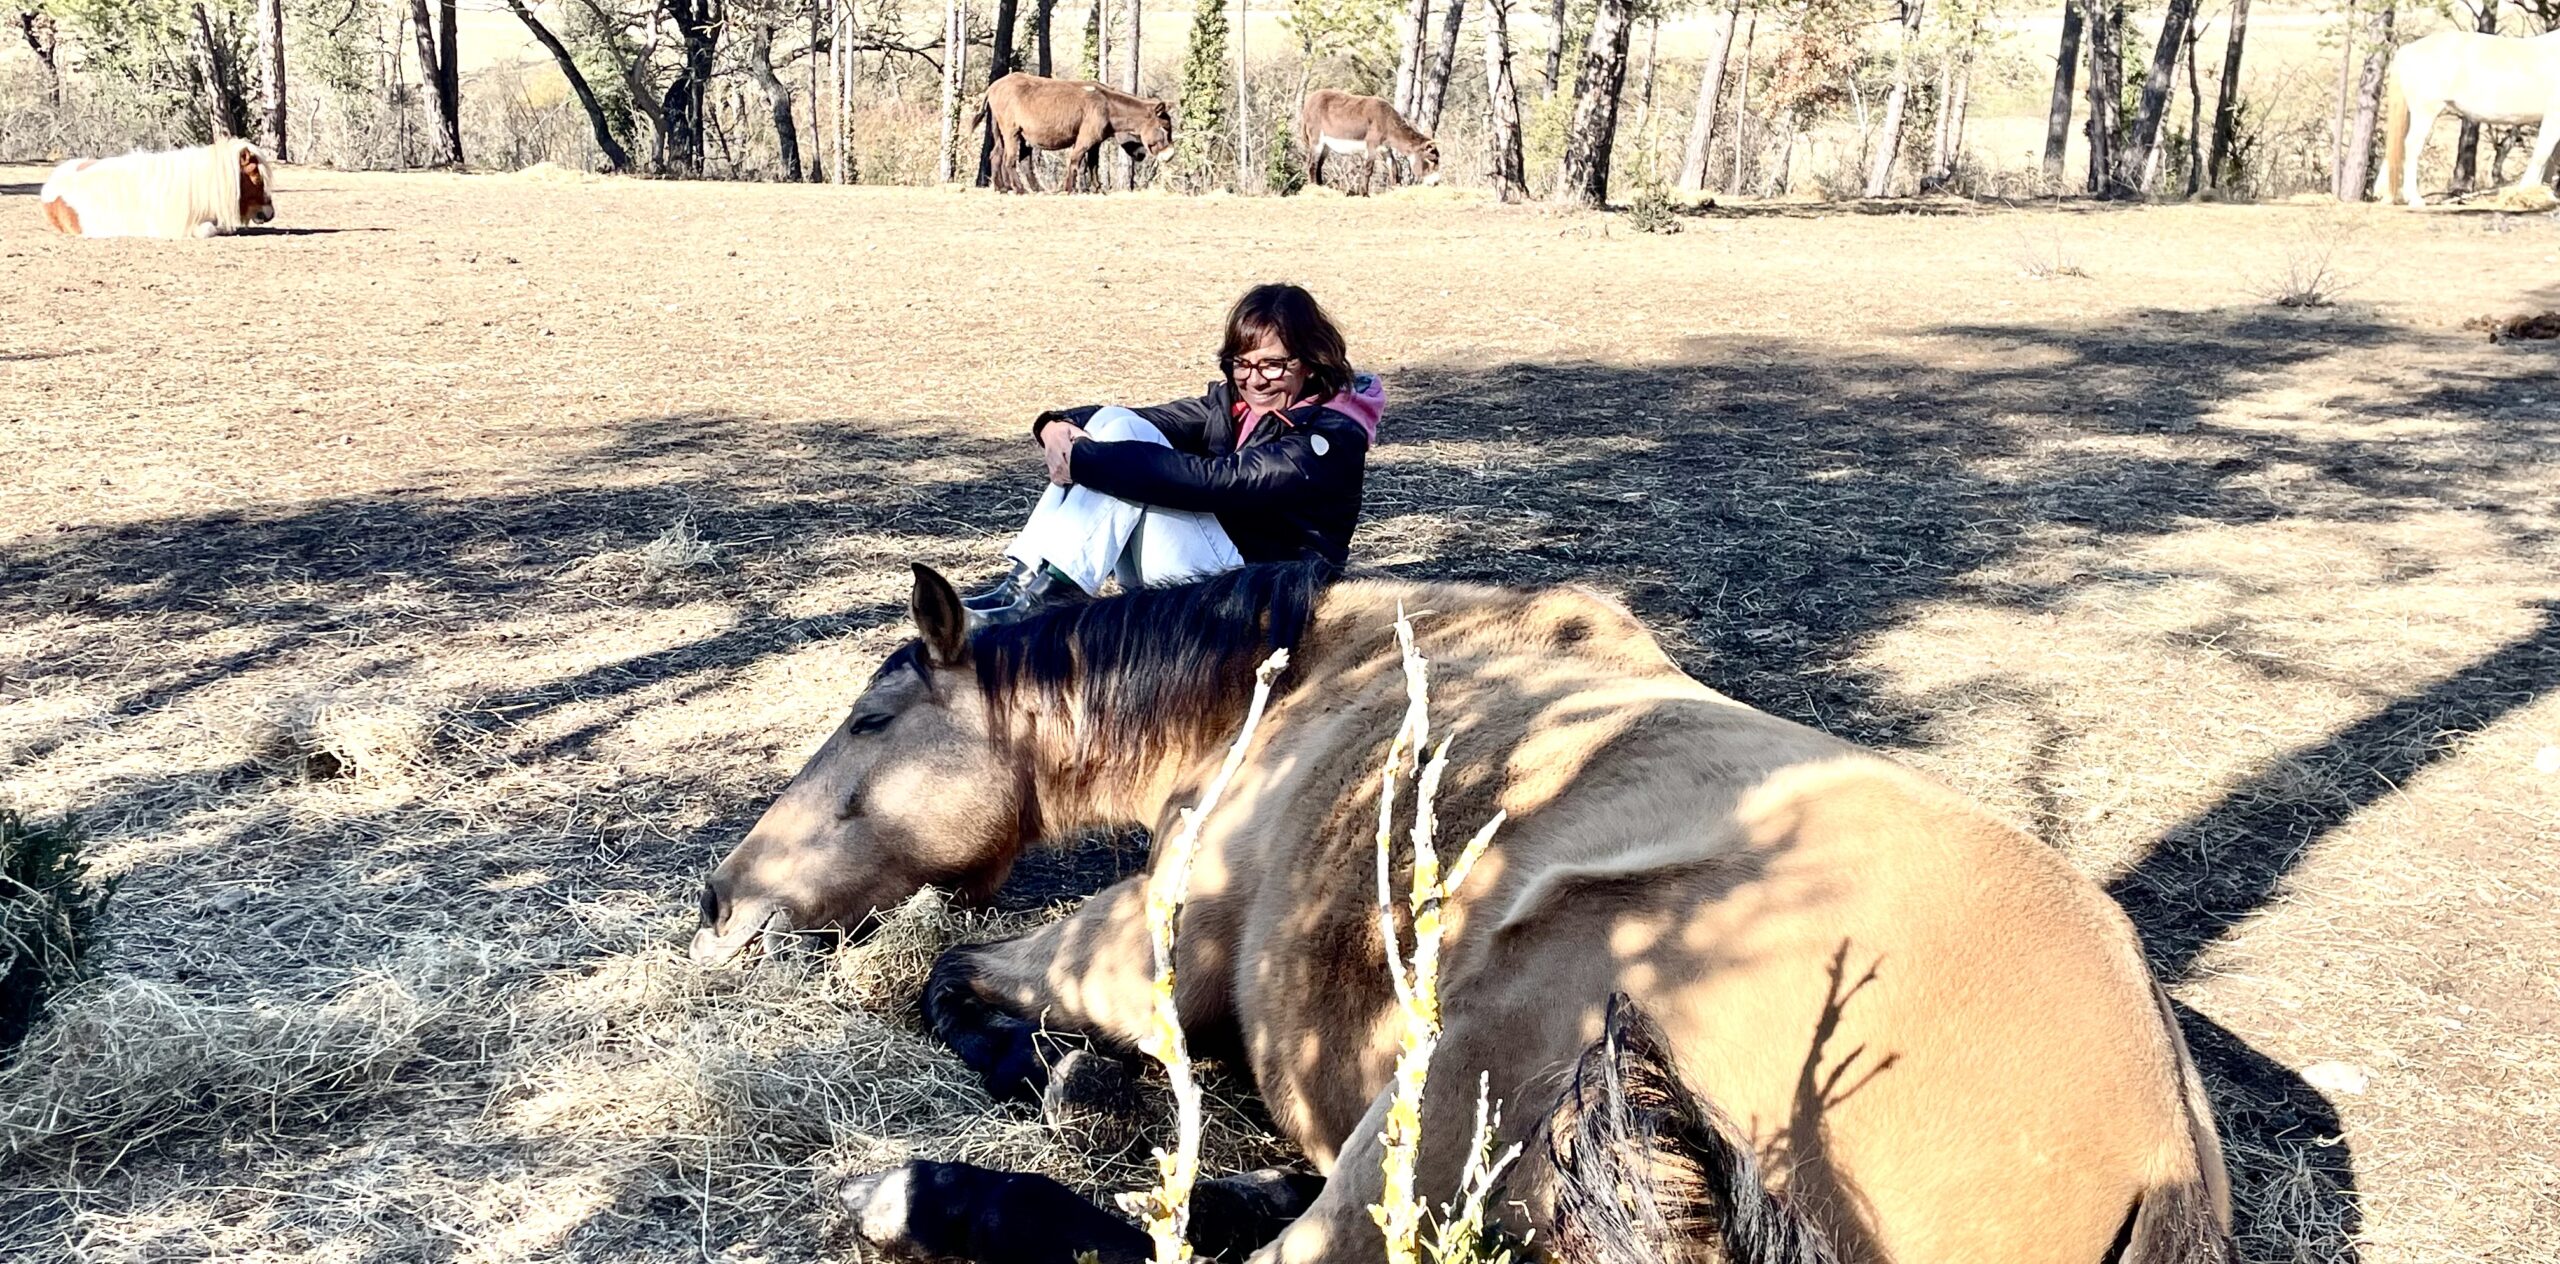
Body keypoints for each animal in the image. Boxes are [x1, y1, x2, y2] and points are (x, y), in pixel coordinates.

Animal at [691, 565, 2232, 1264]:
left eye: (871, 721)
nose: (720, 898)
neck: (1300, 685)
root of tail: (2160, 1150)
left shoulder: (1146, 945)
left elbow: (949, 978)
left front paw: (1067, 1078)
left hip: (1485, 1024)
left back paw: (919, 1192)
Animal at [2375, 29, 2560, 208]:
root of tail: (2409, 50)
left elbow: (2550, 160)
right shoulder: (2553, 117)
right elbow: (2542, 156)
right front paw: (2527, 194)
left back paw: (2386, 197)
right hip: (2425, 111)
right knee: (2412, 145)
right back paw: (2414, 199)